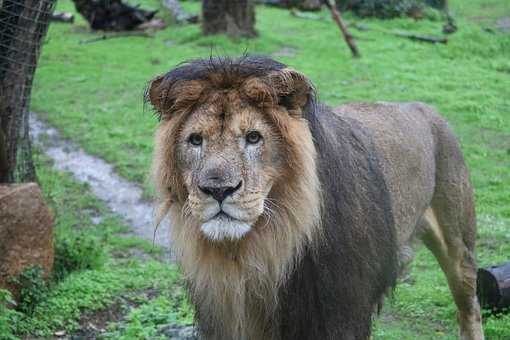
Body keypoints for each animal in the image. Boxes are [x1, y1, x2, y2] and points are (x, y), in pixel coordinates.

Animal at [146, 55, 482, 340]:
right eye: (195, 140)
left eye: (254, 137)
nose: (218, 190)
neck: (258, 254)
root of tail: (424, 108)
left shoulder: (339, 313)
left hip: (458, 246)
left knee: (469, 306)